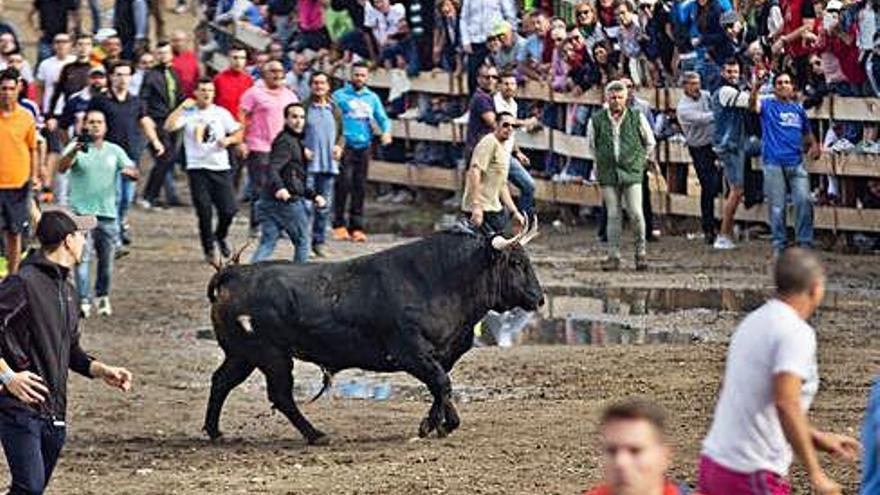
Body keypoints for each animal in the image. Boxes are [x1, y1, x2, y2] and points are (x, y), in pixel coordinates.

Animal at [203, 230, 544, 446]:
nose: (539, 298)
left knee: (221, 382)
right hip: (271, 357)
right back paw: (316, 435)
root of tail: (235, 274)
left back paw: (215, 432)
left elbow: (441, 387)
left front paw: (442, 423)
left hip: (242, 355)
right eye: (516, 263)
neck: (438, 281)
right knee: (281, 396)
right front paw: (433, 425)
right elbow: (442, 384)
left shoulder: (438, 356)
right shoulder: (411, 353)